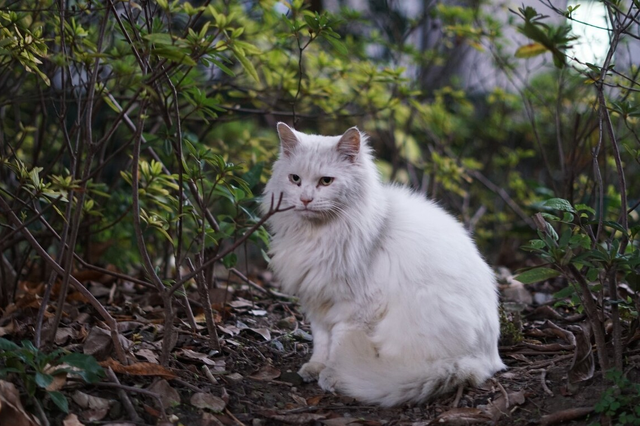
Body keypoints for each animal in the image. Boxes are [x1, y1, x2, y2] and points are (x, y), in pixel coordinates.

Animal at [260, 123, 504, 406]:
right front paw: (314, 368)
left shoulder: (354, 309)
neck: (319, 236)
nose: (306, 200)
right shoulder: (318, 300)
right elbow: (321, 342)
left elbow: (337, 345)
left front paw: (334, 374)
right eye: (295, 179)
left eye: (326, 181)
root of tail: (485, 360)